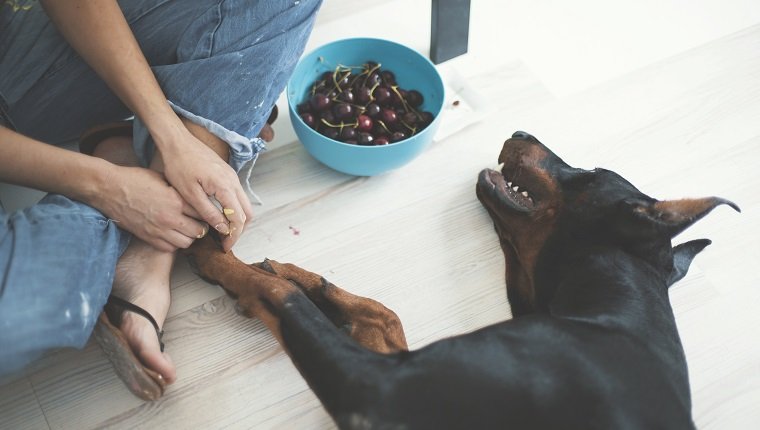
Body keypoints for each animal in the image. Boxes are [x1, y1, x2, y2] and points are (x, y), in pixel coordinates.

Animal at [183, 132, 736, 430]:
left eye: (590, 170)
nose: (520, 132)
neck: (614, 306)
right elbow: (381, 313)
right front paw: (300, 277)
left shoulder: (373, 388)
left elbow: (284, 299)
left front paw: (216, 252)